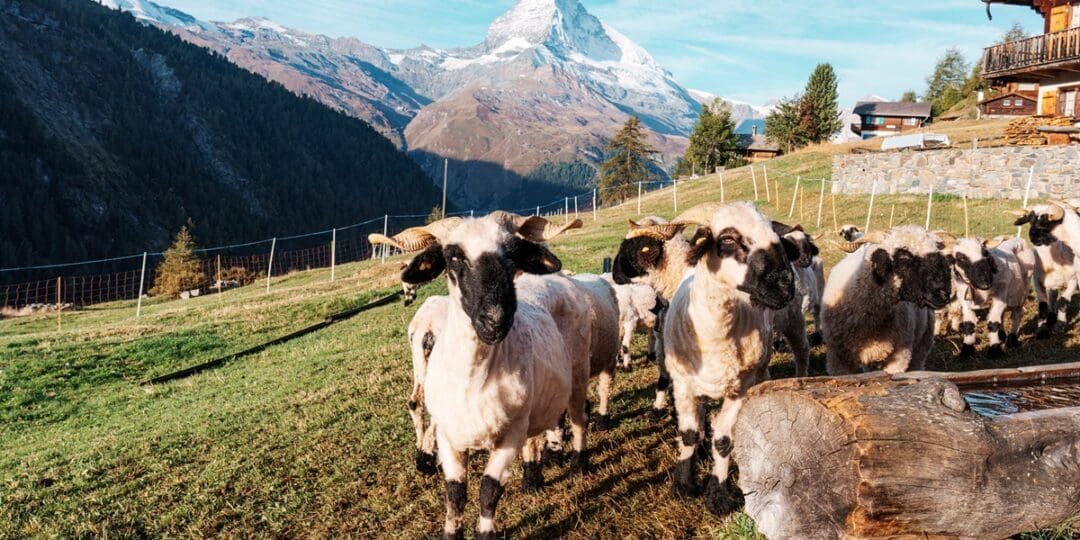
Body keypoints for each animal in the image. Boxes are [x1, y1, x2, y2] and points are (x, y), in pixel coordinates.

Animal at [372, 215, 591, 539]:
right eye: (453, 256)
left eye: (512, 254)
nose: (495, 319)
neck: (473, 380)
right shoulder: (449, 437)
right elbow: (455, 492)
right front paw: (452, 531)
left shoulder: (510, 436)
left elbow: (488, 490)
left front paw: (486, 530)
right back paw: (533, 476)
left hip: (577, 374)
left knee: (577, 420)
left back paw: (576, 463)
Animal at [648, 202, 797, 516]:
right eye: (728, 239)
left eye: (773, 234)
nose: (784, 286)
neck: (716, 334)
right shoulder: (683, 386)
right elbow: (689, 434)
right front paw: (684, 485)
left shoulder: (740, 388)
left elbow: (724, 441)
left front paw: (718, 496)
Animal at [823, 226, 953, 375]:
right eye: (903, 256)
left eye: (937, 253)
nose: (943, 293)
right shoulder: (838, 358)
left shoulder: (899, 357)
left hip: (922, 344)